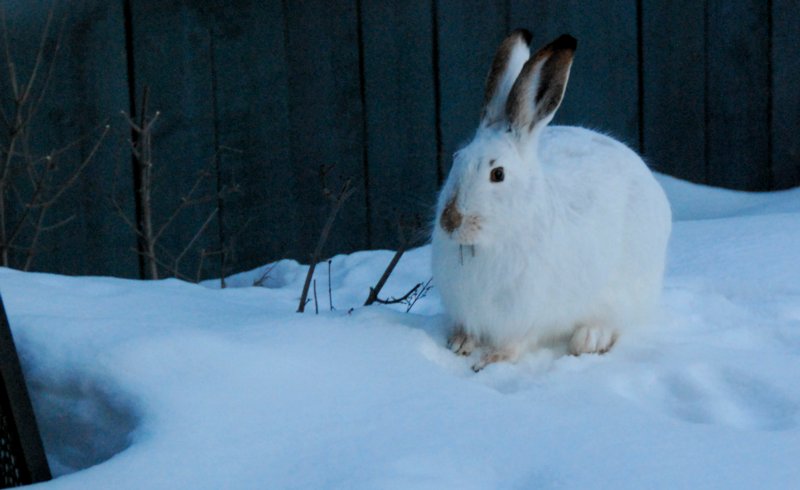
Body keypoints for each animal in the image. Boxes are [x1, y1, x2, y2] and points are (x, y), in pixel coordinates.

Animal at [431, 30, 672, 371]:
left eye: (498, 174)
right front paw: (459, 343)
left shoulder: (530, 314)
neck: (494, 239)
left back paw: (589, 338)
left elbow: (517, 342)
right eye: (456, 158)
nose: (450, 221)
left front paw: (490, 360)